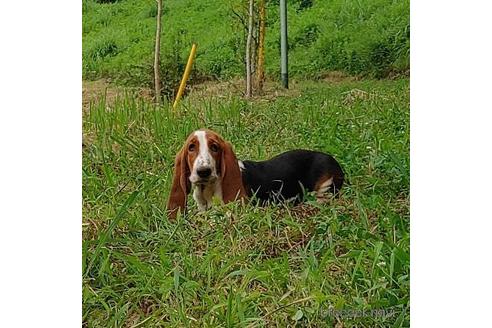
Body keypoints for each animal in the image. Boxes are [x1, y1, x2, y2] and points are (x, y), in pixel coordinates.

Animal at [167, 129, 344, 219]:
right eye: (191, 147)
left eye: (215, 147)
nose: (203, 171)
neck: (207, 190)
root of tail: (332, 160)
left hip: (325, 187)